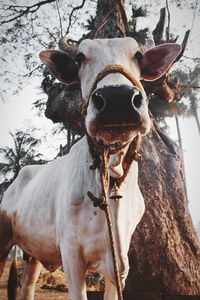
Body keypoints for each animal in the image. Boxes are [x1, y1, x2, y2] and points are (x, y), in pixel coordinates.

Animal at [0, 38, 181, 300]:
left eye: (138, 54)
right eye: (80, 58)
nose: (117, 98)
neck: (111, 176)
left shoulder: (119, 265)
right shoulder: (72, 257)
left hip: (34, 253)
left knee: (27, 287)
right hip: (3, 238)